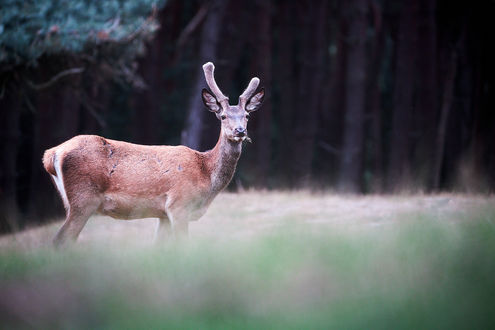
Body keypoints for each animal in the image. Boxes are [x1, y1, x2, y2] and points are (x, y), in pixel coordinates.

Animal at [43, 62, 264, 248]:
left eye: (246, 115)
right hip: (83, 198)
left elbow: (157, 249)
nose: (240, 131)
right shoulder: (179, 204)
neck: (206, 176)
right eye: (223, 116)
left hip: (73, 202)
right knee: (60, 240)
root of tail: (51, 154)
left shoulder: (163, 214)